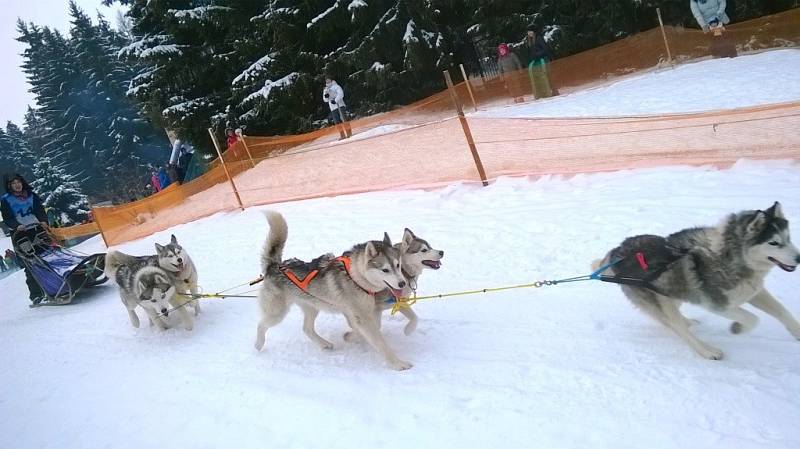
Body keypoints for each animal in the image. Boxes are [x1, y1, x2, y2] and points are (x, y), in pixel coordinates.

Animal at [253, 212, 412, 370]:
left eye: (398, 265)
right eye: (385, 270)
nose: (402, 283)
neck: (355, 276)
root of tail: (275, 266)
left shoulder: (357, 314)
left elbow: (367, 328)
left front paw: (350, 336)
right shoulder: (361, 316)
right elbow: (380, 342)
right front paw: (398, 364)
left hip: (312, 307)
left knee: (306, 328)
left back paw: (324, 343)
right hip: (277, 313)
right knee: (261, 324)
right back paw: (258, 345)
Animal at [596, 201, 800, 358]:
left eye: (788, 238)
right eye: (773, 242)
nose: (799, 258)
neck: (729, 256)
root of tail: (616, 252)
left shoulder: (754, 291)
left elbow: (782, 311)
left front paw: (797, 331)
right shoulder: (718, 305)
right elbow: (752, 318)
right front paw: (738, 328)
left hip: (671, 292)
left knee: (673, 321)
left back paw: (689, 323)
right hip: (661, 301)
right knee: (676, 327)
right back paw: (707, 350)